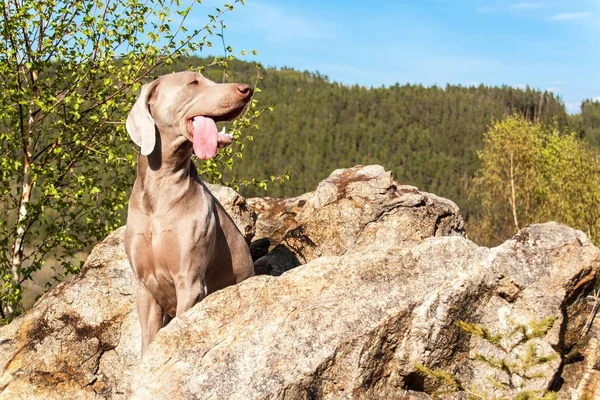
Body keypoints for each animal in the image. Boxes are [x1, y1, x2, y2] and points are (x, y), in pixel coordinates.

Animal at [124, 70, 255, 354]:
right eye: (194, 82)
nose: (247, 89)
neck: (160, 192)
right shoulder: (144, 287)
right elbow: (148, 342)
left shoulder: (190, 282)